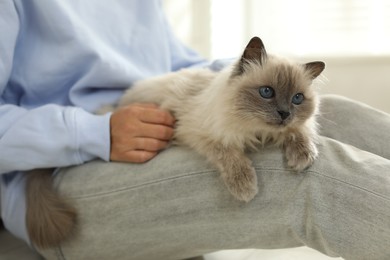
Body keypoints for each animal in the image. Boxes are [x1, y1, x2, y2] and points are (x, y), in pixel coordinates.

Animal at [23, 36, 322, 248]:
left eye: (297, 98)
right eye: (266, 92)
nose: (284, 114)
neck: (256, 132)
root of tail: (116, 105)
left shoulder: (288, 128)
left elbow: (300, 132)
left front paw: (302, 156)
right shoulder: (199, 132)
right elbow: (231, 156)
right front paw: (245, 188)